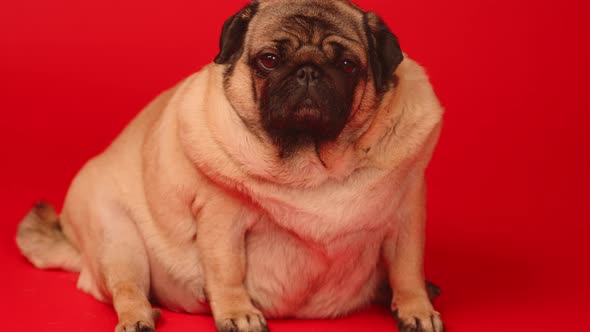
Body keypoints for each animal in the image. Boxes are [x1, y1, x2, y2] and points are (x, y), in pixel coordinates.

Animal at [16, 0, 446, 332]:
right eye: (268, 60)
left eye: (347, 64)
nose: (308, 70)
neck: (311, 162)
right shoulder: (222, 220)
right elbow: (227, 271)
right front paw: (238, 313)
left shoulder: (407, 214)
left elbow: (407, 268)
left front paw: (416, 308)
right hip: (118, 241)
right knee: (126, 288)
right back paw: (140, 315)